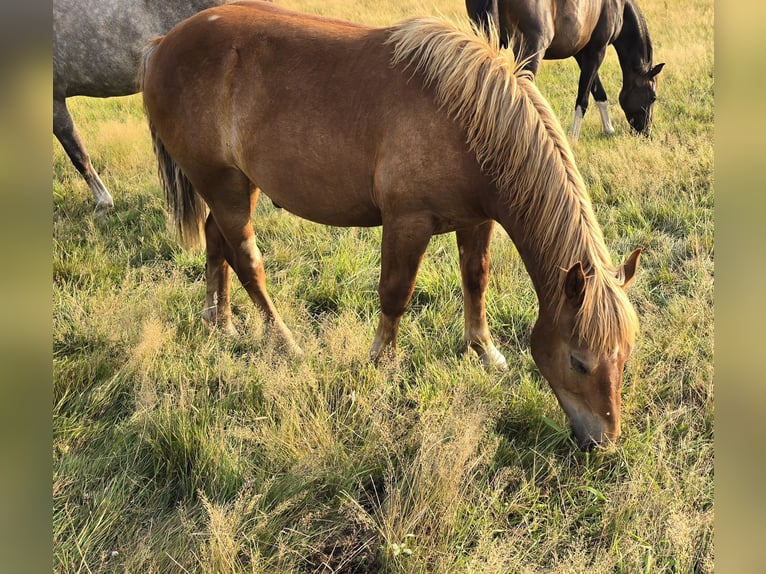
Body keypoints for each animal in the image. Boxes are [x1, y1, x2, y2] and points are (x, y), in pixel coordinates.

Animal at [140, 0, 642, 450]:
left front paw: (484, 351)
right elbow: (396, 294)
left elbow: (475, 281)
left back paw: (221, 323)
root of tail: (164, 44)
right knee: (247, 262)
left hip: (237, 185)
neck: (466, 118)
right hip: (222, 185)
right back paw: (284, 342)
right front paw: (381, 363)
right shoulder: (407, 223)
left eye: (624, 356)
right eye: (579, 361)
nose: (603, 443)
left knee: (216, 242)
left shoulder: (477, 220)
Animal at [465, 0, 664, 140]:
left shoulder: (582, 53)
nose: (646, 133)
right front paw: (573, 138)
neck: (618, 6)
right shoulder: (597, 51)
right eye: (653, 97)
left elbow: (598, 92)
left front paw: (608, 129)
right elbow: (583, 98)